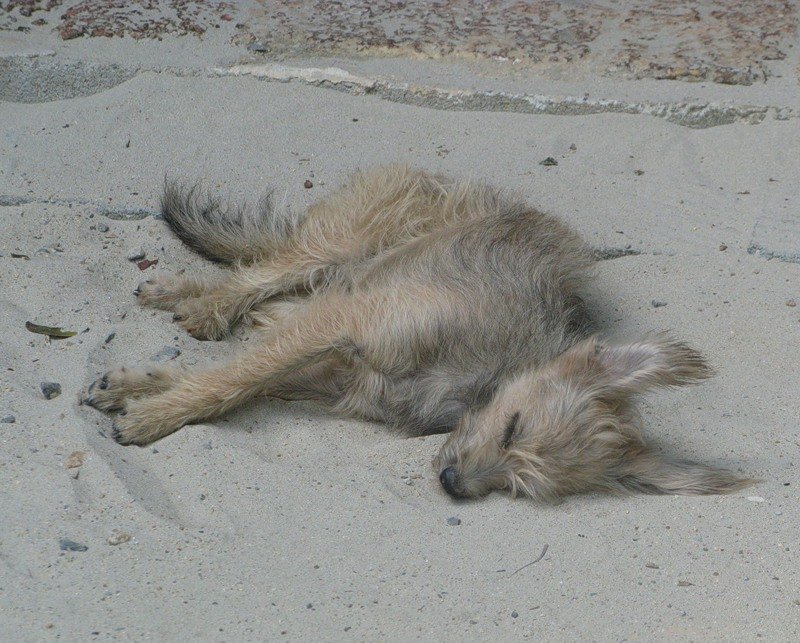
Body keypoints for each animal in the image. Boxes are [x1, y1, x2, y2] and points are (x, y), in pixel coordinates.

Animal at [84, 166, 752, 504]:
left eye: (520, 486)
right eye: (514, 427)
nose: (454, 485)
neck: (478, 382)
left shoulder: (334, 371)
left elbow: (238, 378)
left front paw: (141, 388)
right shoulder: (347, 322)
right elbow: (229, 381)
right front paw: (157, 415)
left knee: (268, 297)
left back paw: (187, 300)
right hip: (344, 245)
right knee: (259, 272)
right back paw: (200, 302)